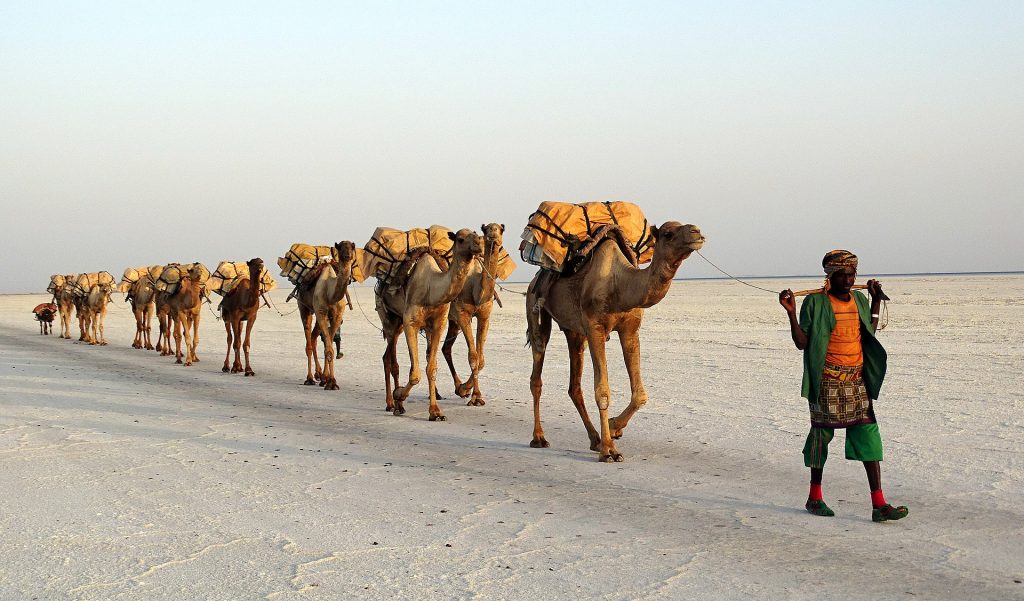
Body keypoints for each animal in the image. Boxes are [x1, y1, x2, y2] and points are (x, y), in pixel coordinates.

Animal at [378, 228, 485, 421]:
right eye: (460, 239)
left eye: (476, 233)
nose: (479, 243)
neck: (431, 289)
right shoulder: (410, 322)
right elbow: (415, 374)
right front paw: (399, 395)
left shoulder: (438, 324)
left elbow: (431, 367)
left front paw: (435, 411)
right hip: (389, 319)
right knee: (390, 361)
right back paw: (393, 404)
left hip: (399, 324)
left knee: (389, 357)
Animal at [438, 223, 505, 407]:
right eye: (486, 229)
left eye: (500, 229)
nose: (492, 235)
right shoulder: (462, 314)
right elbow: (473, 356)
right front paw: (475, 396)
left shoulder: (484, 316)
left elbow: (481, 358)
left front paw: (465, 389)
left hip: (452, 322)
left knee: (445, 348)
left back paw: (456, 387)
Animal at [528, 221, 704, 460]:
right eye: (668, 233)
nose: (696, 232)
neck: (619, 285)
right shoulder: (595, 329)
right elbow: (602, 390)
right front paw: (609, 450)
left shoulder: (630, 329)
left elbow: (640, 394)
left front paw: (613, 428)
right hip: (534, 304)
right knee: (537, 367)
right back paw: (539, 437)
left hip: (574, 332)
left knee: (575, 385)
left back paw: (594, 439)